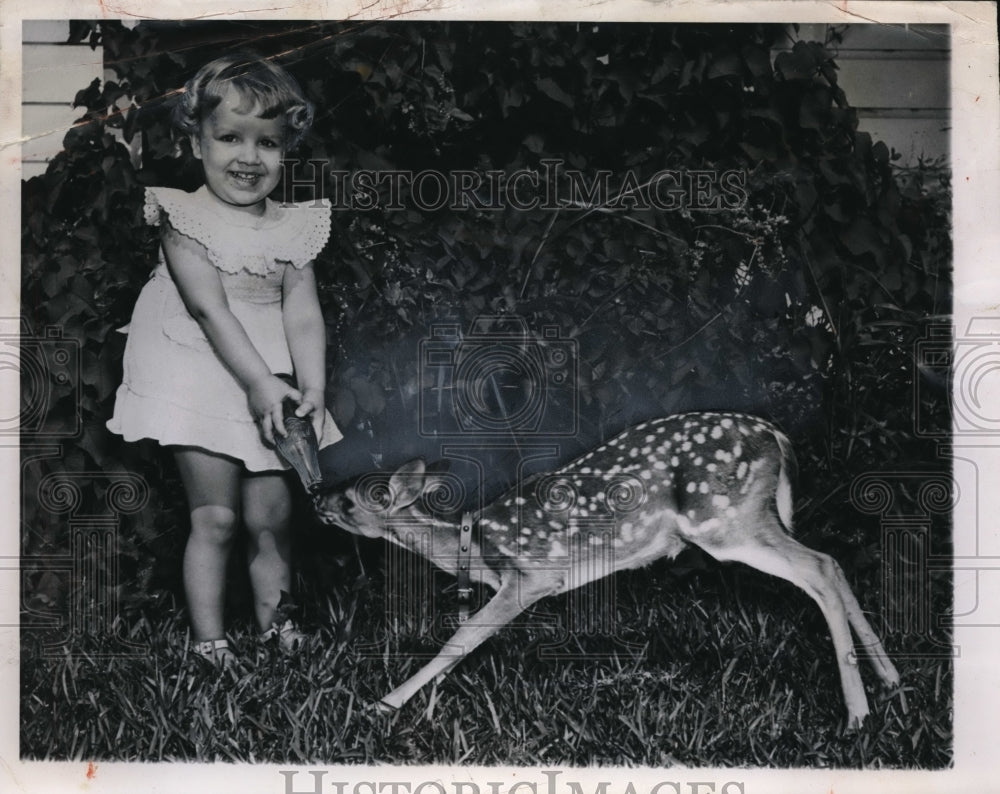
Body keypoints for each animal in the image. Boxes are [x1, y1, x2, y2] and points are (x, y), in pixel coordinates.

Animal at [309, 412, 900, 727]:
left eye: (354, 499)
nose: (315, 495)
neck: (472, 545)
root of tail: (774, 435)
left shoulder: (530, 578)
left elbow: (462, 638)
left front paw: (383, 705)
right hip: (747, 520)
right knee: (834, 563)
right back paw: (891, 680)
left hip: (726, 522)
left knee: (819, 568)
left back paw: (857, 713)